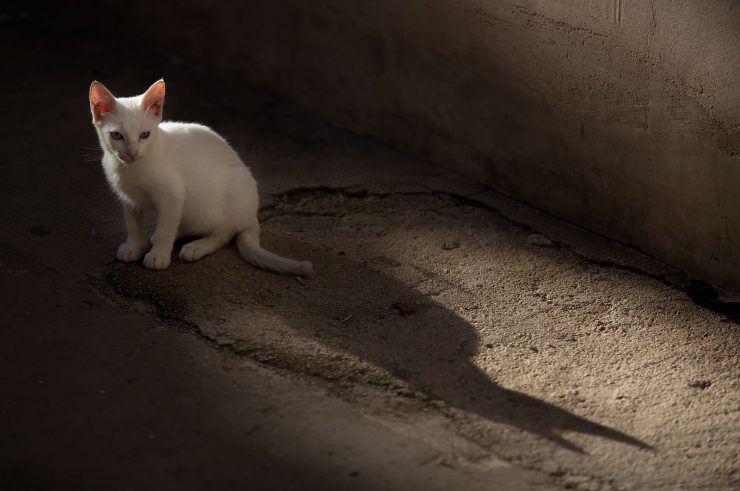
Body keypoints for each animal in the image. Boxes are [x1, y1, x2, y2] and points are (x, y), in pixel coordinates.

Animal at [89, 79, 312, 274]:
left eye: (145, 135)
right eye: (117, 136)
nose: (132, 153)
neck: (132, 169)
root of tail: (252, 216)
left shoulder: (174, 195)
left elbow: (165, 230)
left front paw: (159, 255)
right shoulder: (130, 198)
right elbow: (133, 225)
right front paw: (134, 246)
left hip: (232, 189)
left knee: (223, 233)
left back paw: (196, 247)